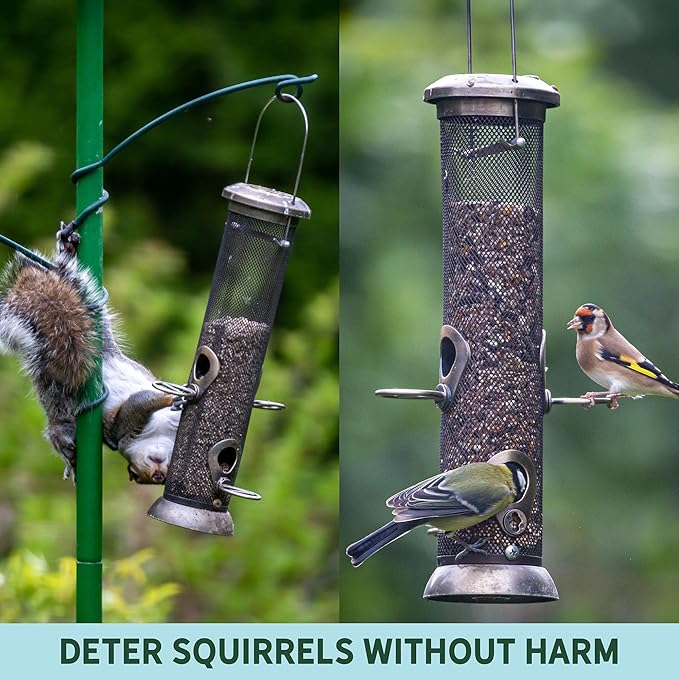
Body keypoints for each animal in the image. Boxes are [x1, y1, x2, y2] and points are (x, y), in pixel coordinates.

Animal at [0, 246, 179, 483]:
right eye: (139, 475)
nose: (158, 476)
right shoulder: (124, 428)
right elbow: (141, 401)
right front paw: (169, 397)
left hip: (99, 329)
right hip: (60, 401)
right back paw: (69, 454)